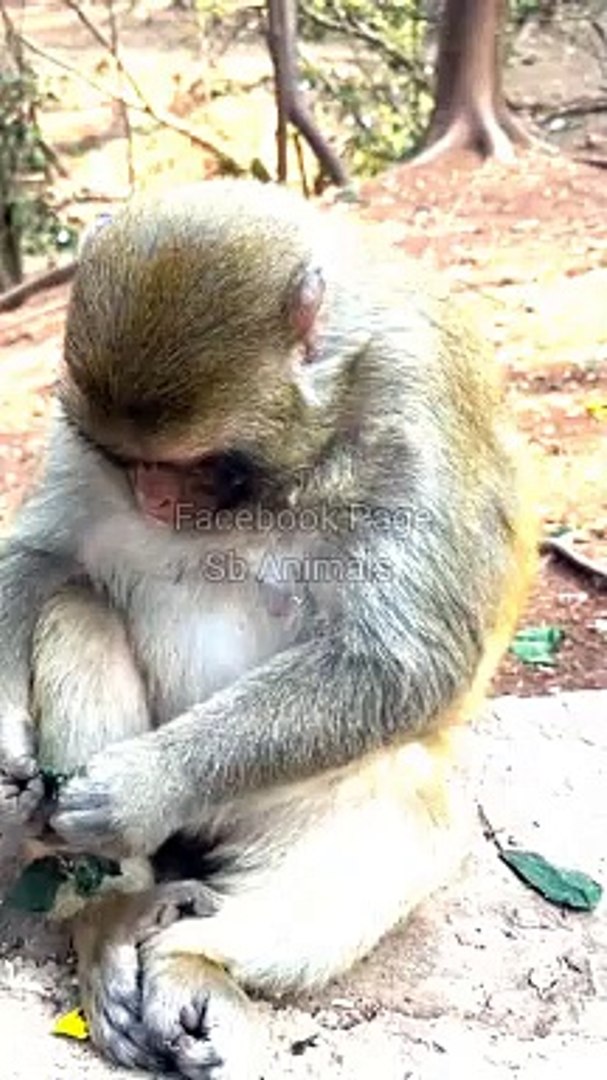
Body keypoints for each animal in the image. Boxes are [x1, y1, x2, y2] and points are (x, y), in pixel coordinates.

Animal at [0, 179, 536, 1078]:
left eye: (193, 465)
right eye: (128, 459)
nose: (153, 499)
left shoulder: (412, 393)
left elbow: (401, 663)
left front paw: (146, 786)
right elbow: (40, 554)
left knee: (399, 797)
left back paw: (194, 960)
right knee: (75, 607)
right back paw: (114, 919)